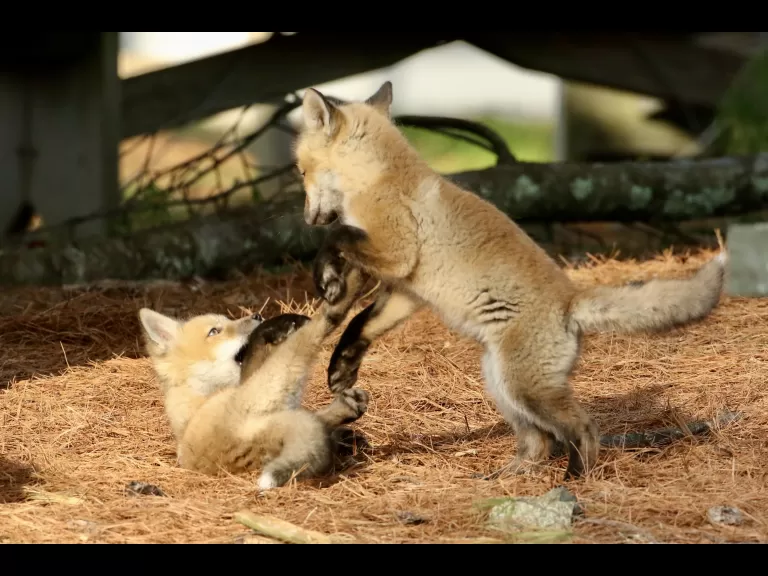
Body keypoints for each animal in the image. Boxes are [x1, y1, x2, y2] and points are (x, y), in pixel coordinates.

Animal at [294, 80, 727, 481]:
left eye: (300, 171)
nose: (308, 218)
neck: (377, 177)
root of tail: (570, 300)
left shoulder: (398, 251)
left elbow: (338, 237)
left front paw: (324, 271)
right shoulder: (407, 288)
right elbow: (360, 325)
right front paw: (342, 368)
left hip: (525, 387)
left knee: (583, 430)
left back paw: (575, 480)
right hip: (501, 384)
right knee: (539, 442)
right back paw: (507, 478)